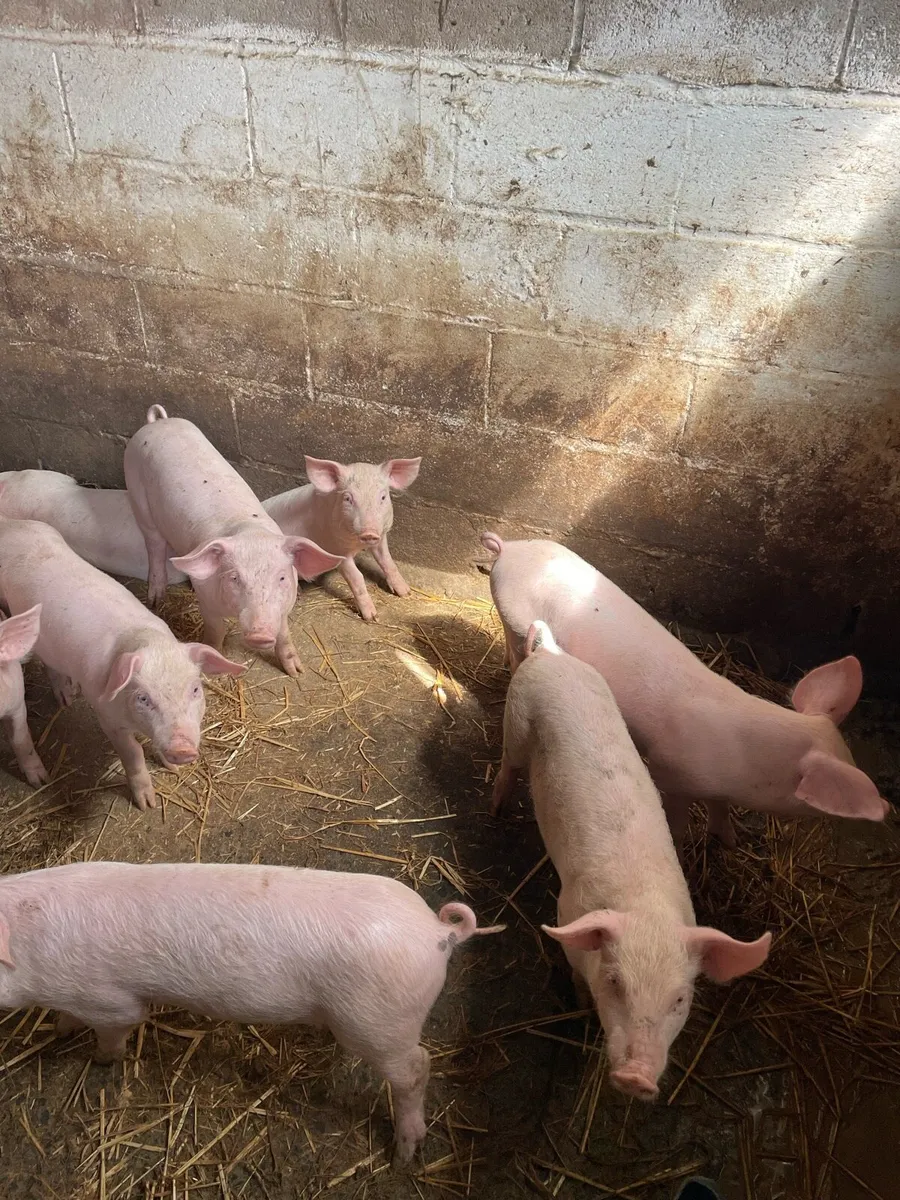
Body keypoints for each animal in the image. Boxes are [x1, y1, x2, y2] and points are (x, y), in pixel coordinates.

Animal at [0, 860, 503, 1162]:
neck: (30, 955)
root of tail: (437, 932)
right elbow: (67, 1017)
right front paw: (59, 1030)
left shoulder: (111, 1002)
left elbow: (117, 1030)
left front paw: (99, 1060)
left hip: (378, 1024)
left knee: (417, 1068)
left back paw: (405, 1153)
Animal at [124, 407, 344, 676]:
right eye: (234, 578)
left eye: (282, 577)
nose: (260, 634)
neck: (249, 532)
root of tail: (157, 423)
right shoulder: (206, 599)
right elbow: (216, 630)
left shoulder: (283, 607)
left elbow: (283, 634)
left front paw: (296, 671)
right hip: (138, 499)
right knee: (154, 546)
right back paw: (156, 600)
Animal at [262, 456, 422, 622]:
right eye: (347, 498)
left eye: (383, 497)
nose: (369, 532)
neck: (356, 544)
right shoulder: (337, 549)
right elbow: (356, 578)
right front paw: (372, 617)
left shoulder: (381, 537)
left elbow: (388, 562)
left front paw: (406, 593)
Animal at [482, 535, 887, 849]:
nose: (885, 809)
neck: (745, 762)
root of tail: (508, 548)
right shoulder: (671, 774)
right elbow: (676, 820)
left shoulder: (719, 790)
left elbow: (720, 810)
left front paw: (730, 842)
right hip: (512, 618)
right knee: (515, 651)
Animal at [492, 620, 772, 1100]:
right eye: (615, 983)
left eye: (679, 999)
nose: (636, 1076)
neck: (644, 905)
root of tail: (550, 654)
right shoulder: (566, 910)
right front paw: (581, 1006)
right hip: (516, 721)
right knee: (507, 764)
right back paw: (495, 810)